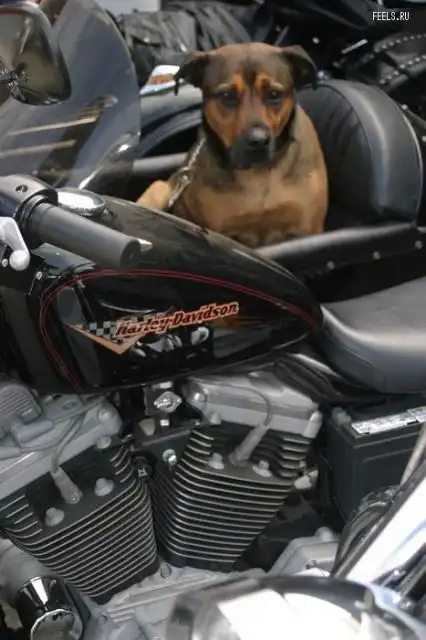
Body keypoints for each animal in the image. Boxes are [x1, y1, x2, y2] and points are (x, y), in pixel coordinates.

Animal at [136, 42, 328, 248]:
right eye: (227, 95)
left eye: (274, 94)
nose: (258, 141)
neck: (258, 174)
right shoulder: (220, 230)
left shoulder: (307, 230)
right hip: (160, 187)